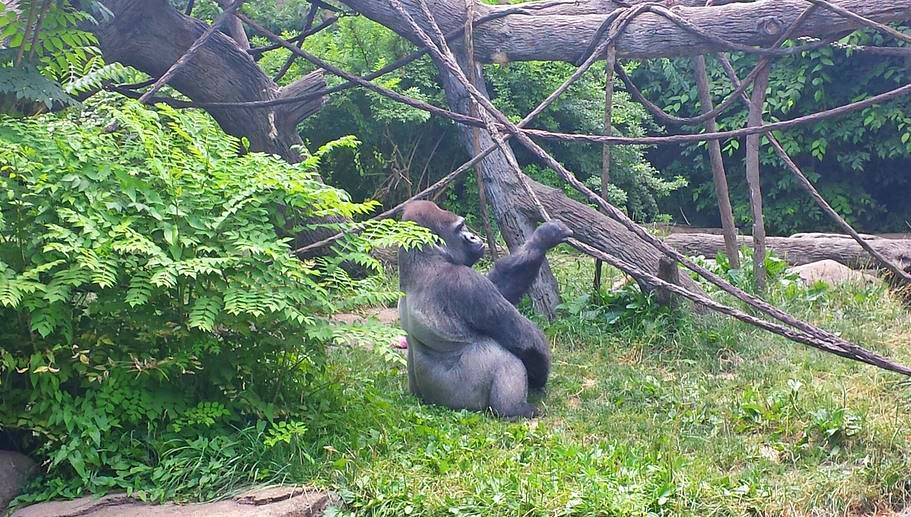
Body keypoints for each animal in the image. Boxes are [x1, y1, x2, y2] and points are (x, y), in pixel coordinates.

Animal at [397, 201, 572, 418]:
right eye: (459, 228)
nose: (472, 236)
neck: (423, 258)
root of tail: (431, 402)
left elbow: (500, 285)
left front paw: (543, 237)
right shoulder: (465, 282)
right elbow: (527, 341)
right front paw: (538, 378)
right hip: (462, 402)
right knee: (506, 357)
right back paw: (514, 409)